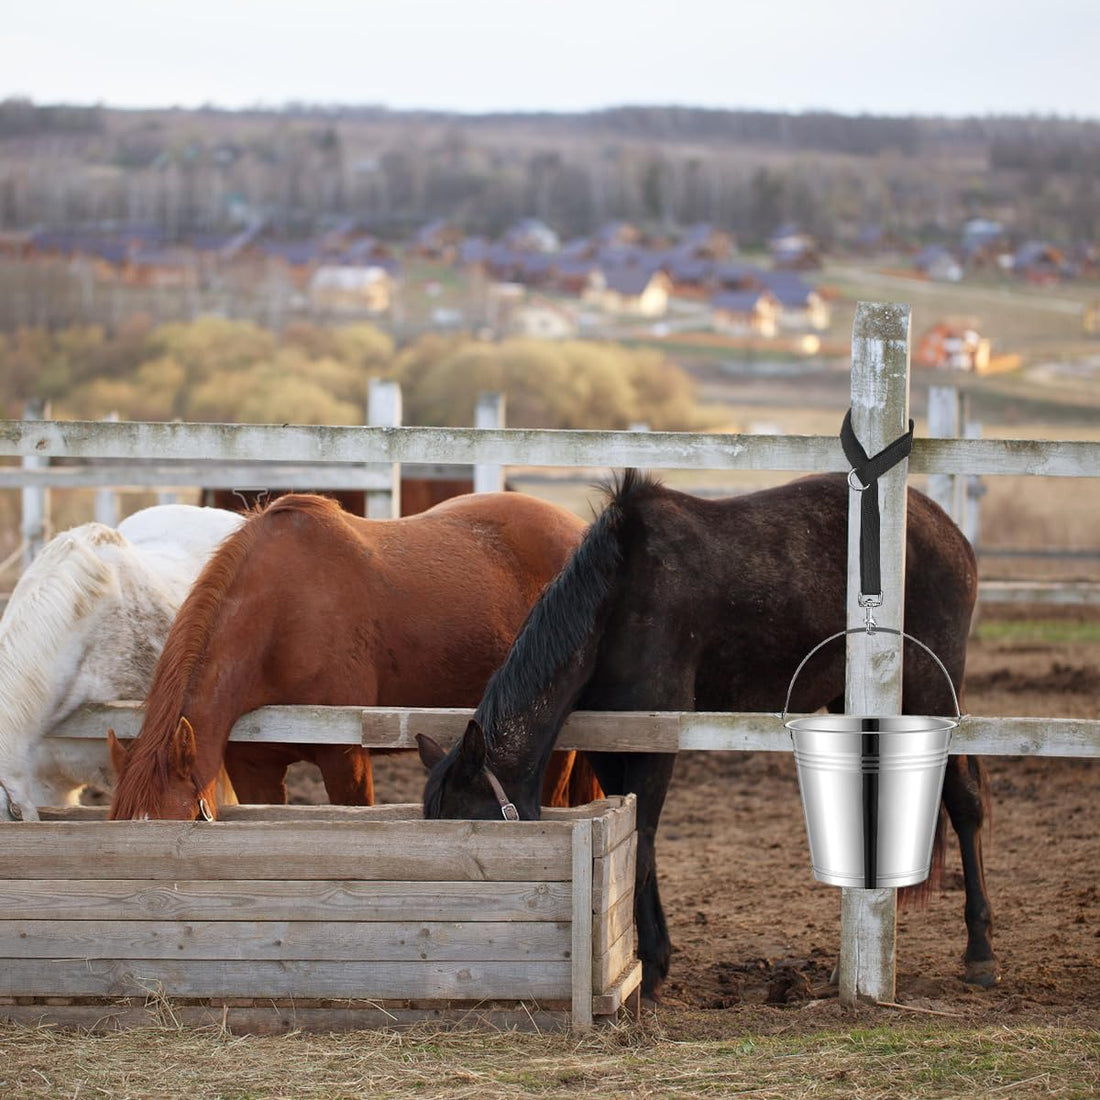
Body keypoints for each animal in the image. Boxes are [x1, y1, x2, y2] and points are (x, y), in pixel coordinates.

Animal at [418, 471, 996, 1000]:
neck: (619, 599)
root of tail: (946, 528)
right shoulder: (610, 744)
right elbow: (635, 841)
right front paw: (655, 958)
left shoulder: (657, 744)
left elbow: (642, 847)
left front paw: (649, 972)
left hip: (932, 688)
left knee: (965, 801)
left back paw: (979, 954)